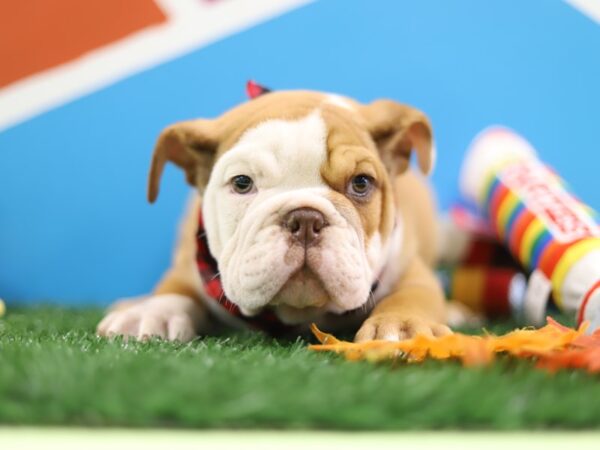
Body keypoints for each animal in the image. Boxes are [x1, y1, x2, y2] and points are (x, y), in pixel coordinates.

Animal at [97, 89, 450, 342]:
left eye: (361, 183)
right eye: (242, 183)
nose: (306, 219)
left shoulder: (407, 264)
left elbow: (414, 294)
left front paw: (402, 326)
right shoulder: (189, 264)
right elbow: (174, 289)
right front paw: (152, 313)